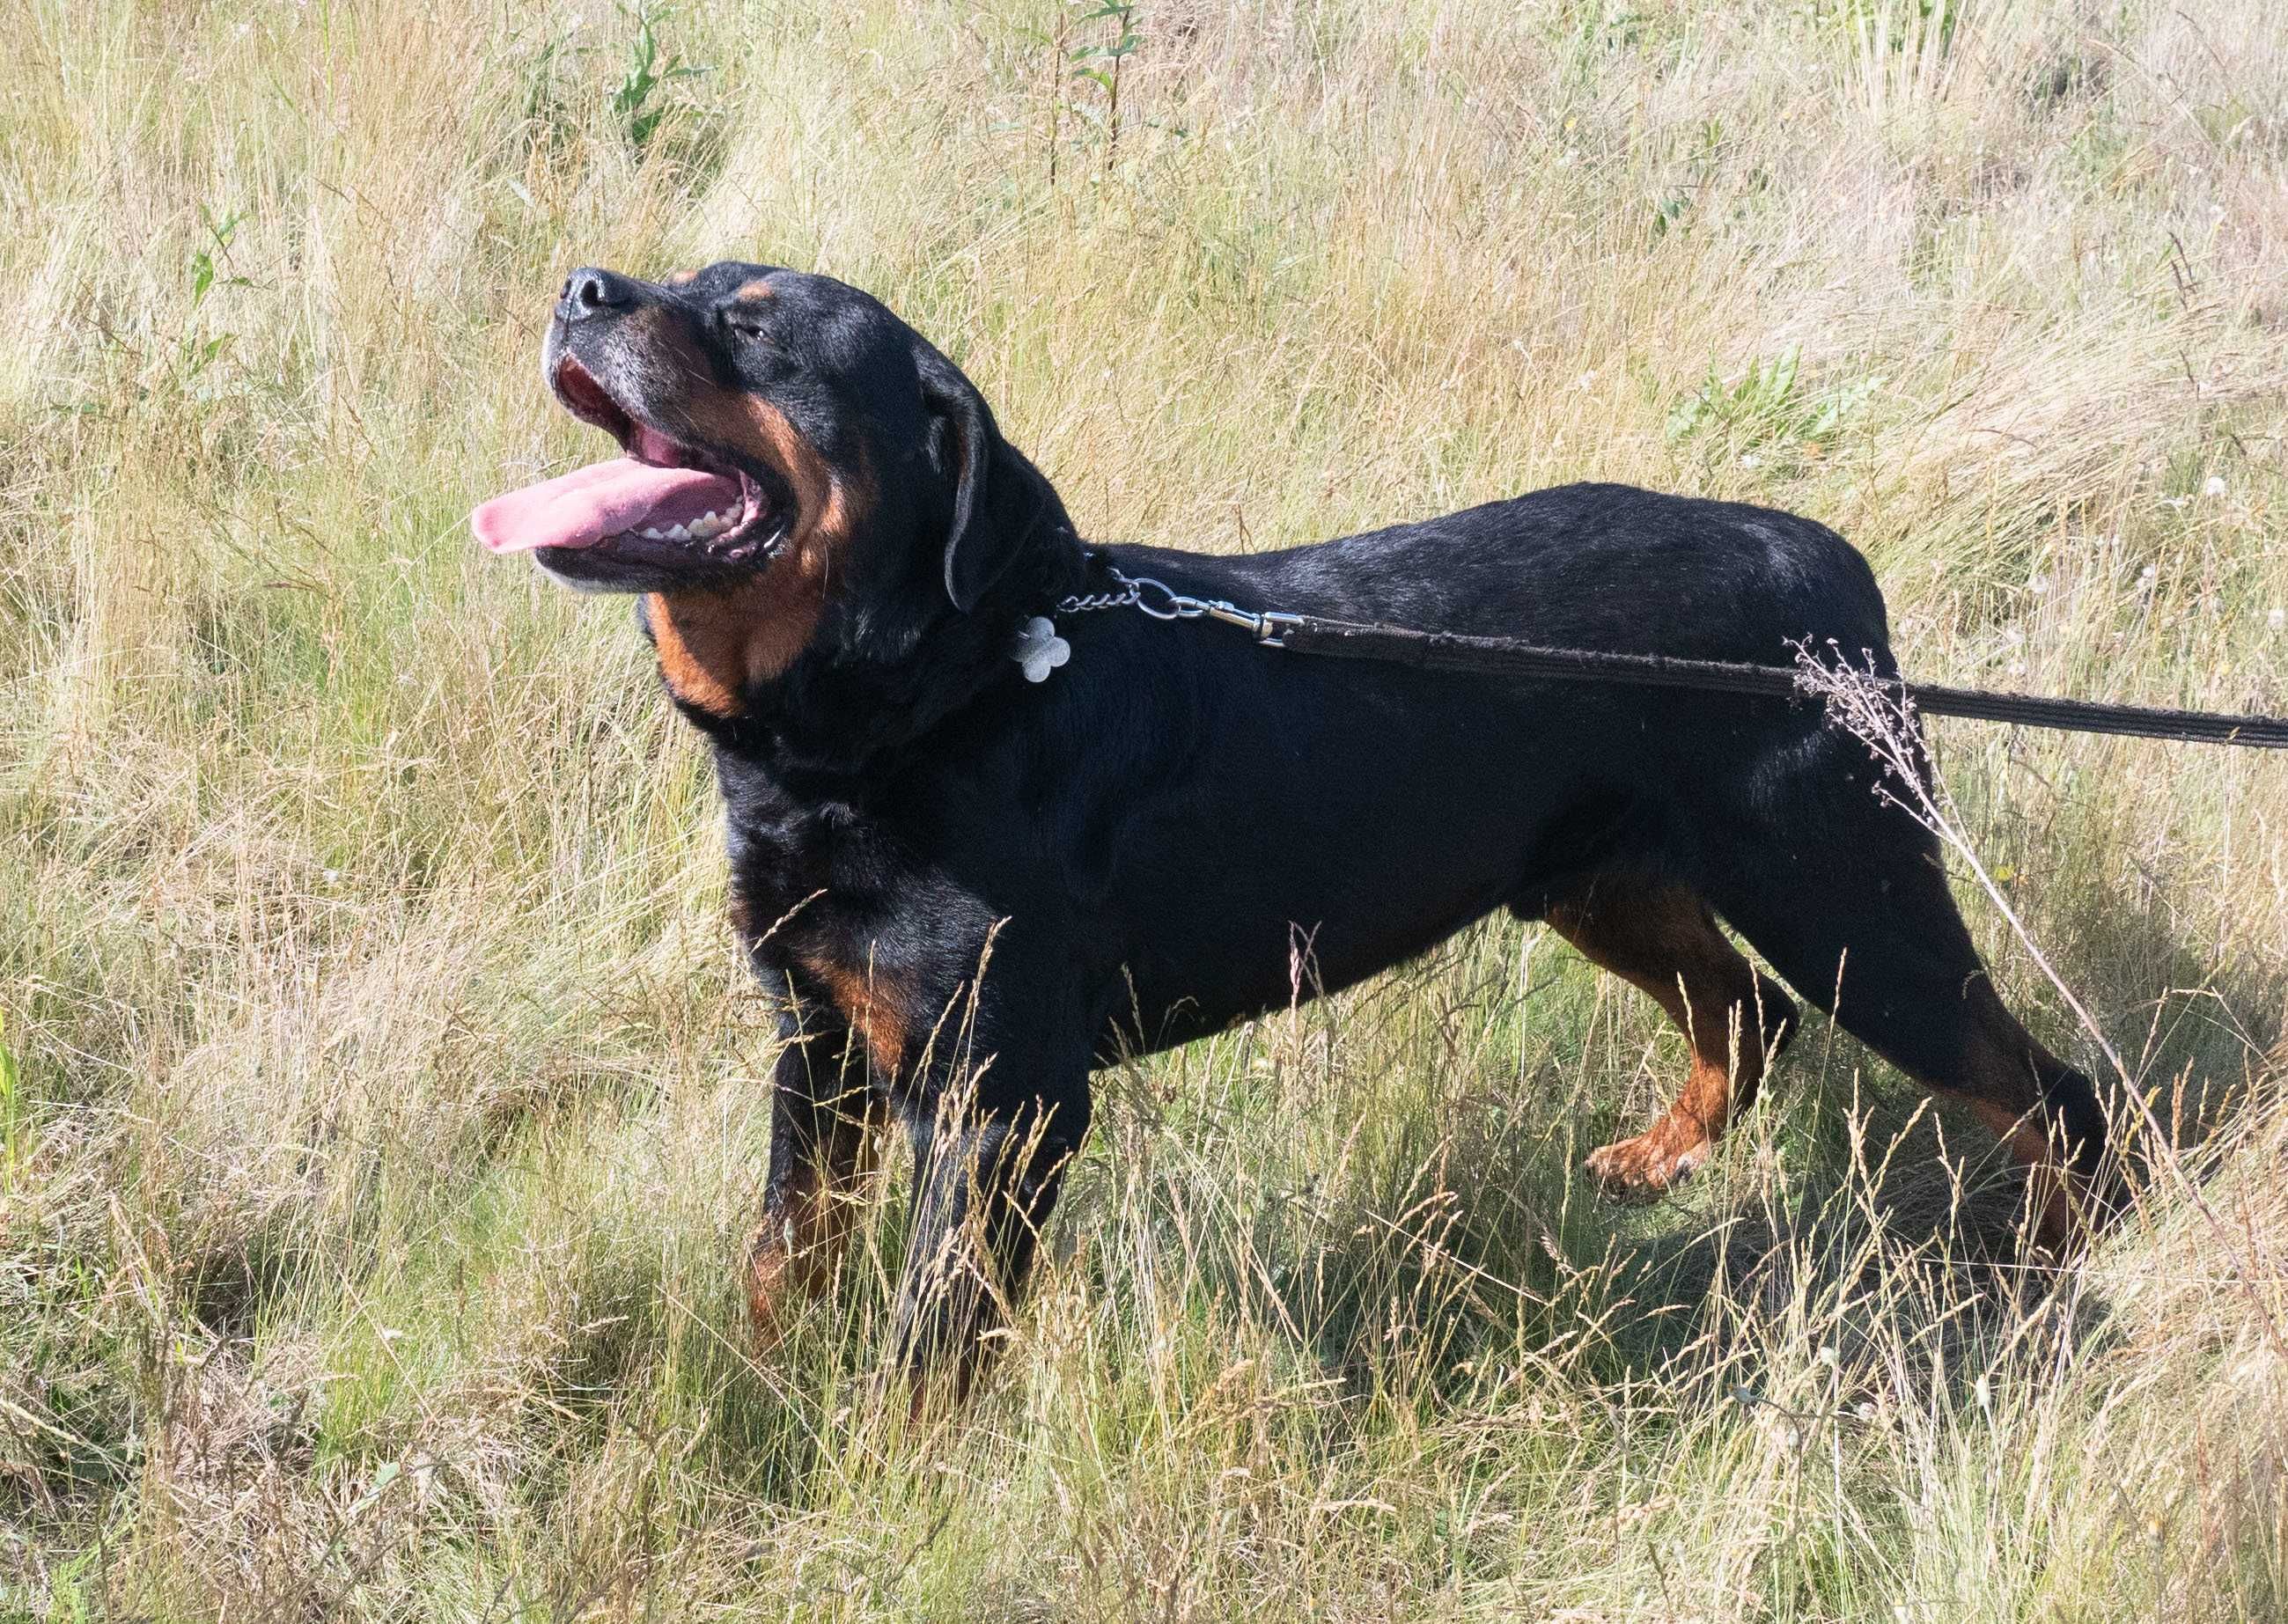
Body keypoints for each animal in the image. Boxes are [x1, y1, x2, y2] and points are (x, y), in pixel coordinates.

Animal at [473, 264, 2114, 1400]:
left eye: (752, 332)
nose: (583, 285)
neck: (927, 701)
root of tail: (1823, 562)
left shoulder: (1002, 1098)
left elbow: (931, 1337)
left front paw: (880, 1477)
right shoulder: (816, 1041)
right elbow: (782, 1255)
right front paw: (756, 1394)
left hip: (1842, 896)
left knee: (2044, 1088)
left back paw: (2050, 1274)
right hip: (1602, 880)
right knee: (1742, 1010)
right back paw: (1660, 1161)